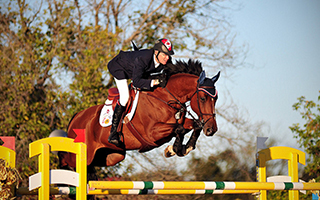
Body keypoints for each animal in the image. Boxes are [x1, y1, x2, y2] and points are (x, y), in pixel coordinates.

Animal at [57, 58, 220, 173]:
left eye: (216, 98)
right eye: (203, 98)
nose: (211, 129)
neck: (166, 97)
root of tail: (76, 117)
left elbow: (192, 126)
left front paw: (179, 149)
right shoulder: (152, 133)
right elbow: (179, 129)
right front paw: (174, 149)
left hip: (111, 156)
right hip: (79, 154)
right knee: (65, 158)